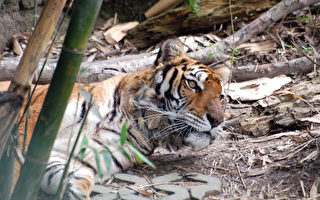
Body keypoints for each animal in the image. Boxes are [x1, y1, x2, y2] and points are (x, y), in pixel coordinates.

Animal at [5, 38, 230, 199]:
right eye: (192, 85)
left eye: (221, 97)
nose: (217, 120)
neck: (130, 119)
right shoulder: (32, 122)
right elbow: (14, 172)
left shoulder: (64, 156)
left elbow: (80, 176)